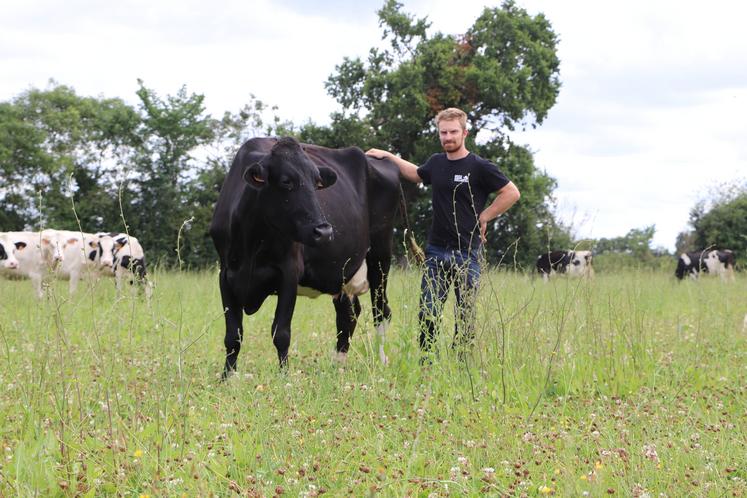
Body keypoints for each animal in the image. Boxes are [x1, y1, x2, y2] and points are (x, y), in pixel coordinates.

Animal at [210, 137, 404, 378]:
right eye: (286, 181)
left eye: (317, 182)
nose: (324, 231)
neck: (252, 242)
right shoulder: (226, 274)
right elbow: (233, 334)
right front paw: (227, 376)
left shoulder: (289, 272)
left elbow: (281, 332)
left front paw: (284, 376)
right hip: (342, 272)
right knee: (348, 315)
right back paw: (337, 364)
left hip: (380, 256)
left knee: (381, 311)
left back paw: (381, 361)